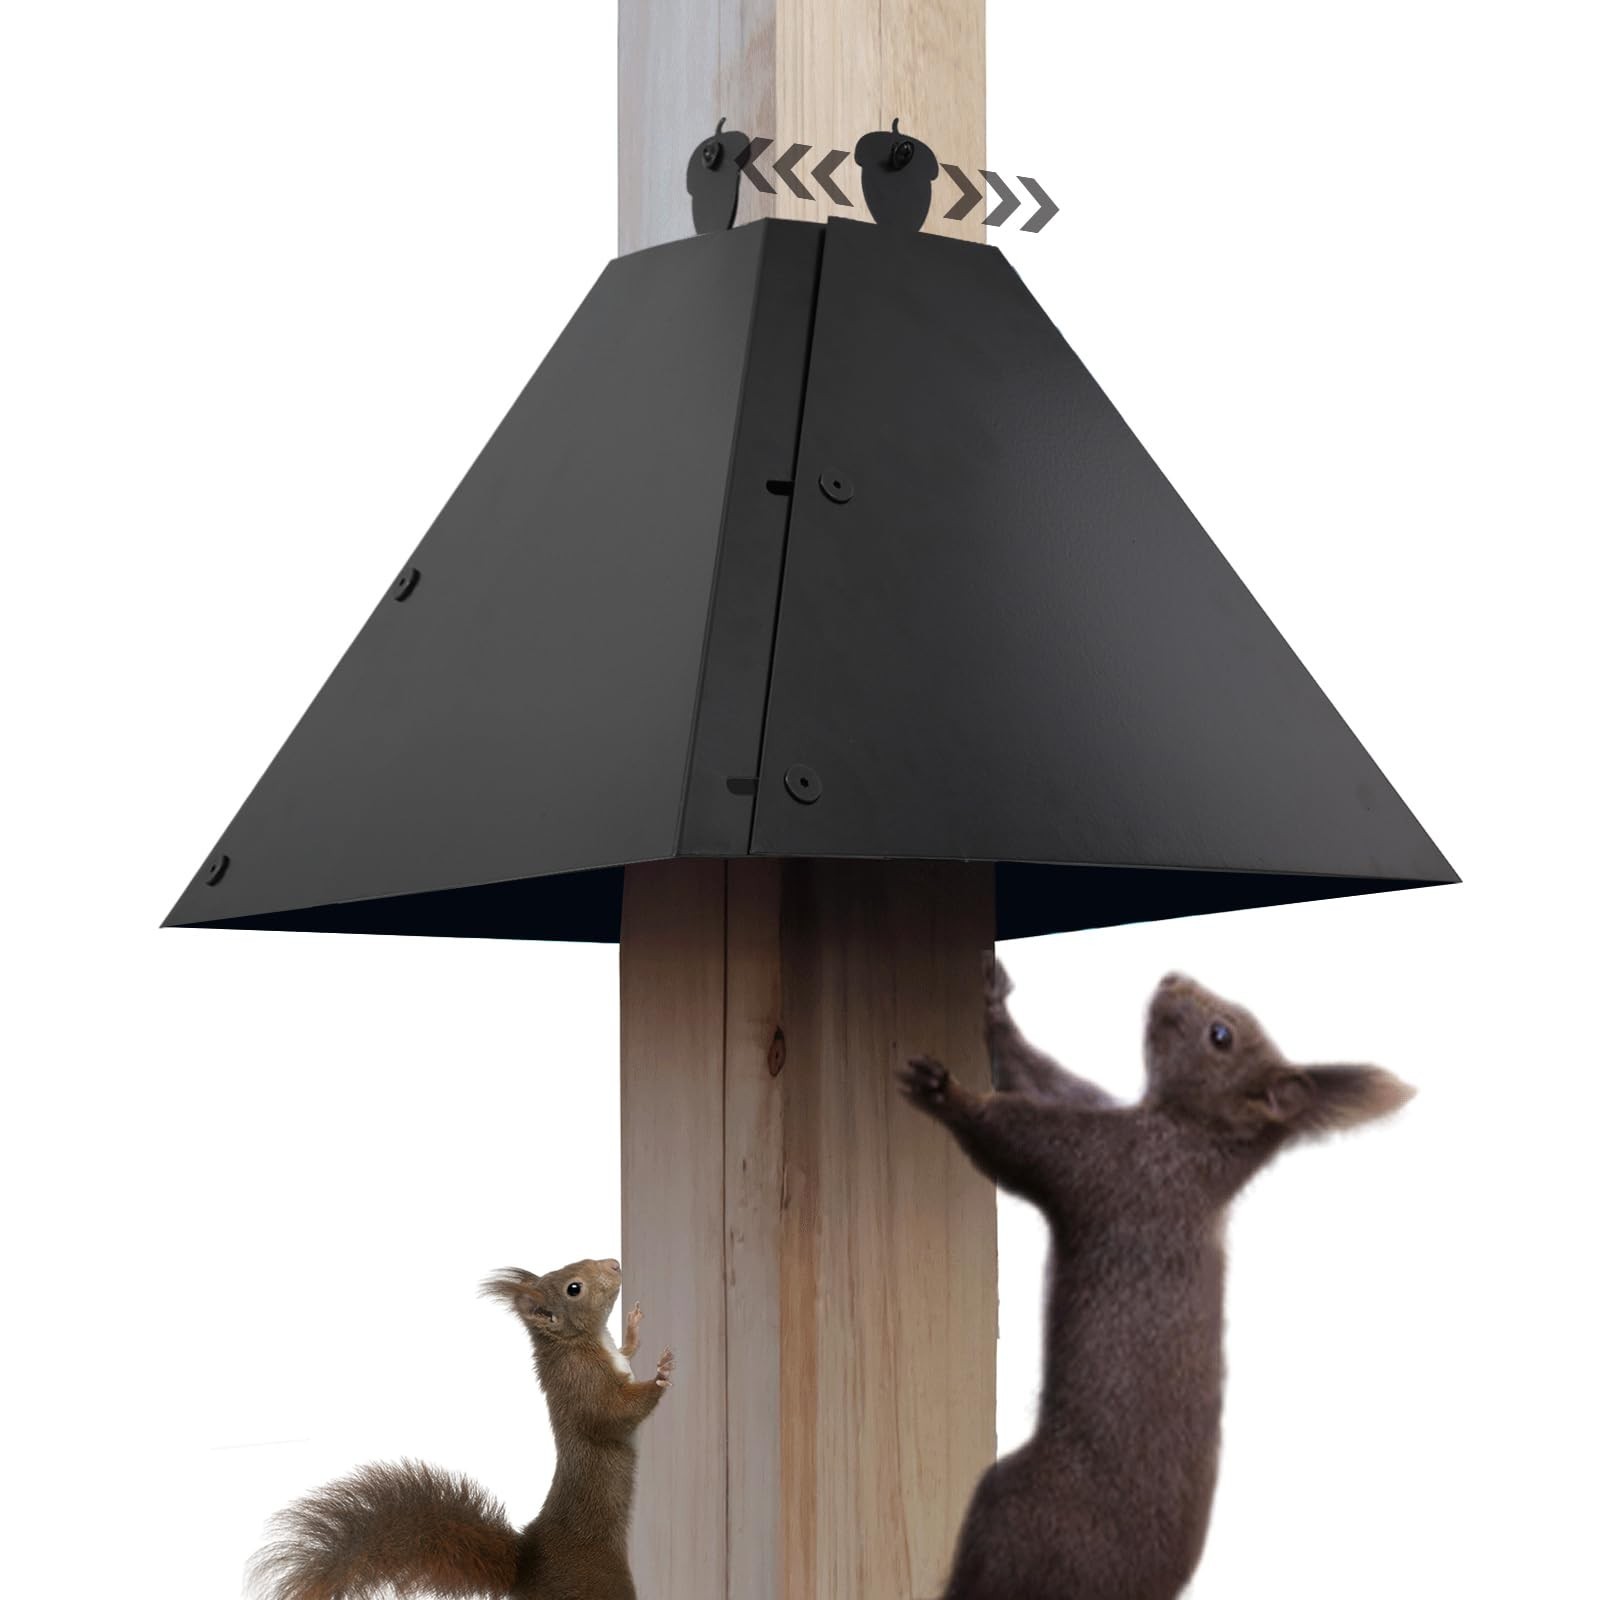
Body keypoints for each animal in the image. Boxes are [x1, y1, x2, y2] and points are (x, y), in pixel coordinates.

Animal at [249, 1257, 673, 1600]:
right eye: (574, 1287)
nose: (614, 1264)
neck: (581, 1342)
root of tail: (527, 1566)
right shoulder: (583, 1386)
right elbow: (615, 1414)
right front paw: (660, 1377)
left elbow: (627, 1354)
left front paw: (634, 1329)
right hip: (600, 1582)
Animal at [898, 961, 1415, 1600]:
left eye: (1221, 1035)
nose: (1172, 978)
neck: (1195, 1137)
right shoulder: (1104, 1117)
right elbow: (1039, 1076)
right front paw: (995, 1004)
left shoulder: (1113, 1164)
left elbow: (1016, 1133)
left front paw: (949, 1095)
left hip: (1017, 1520)